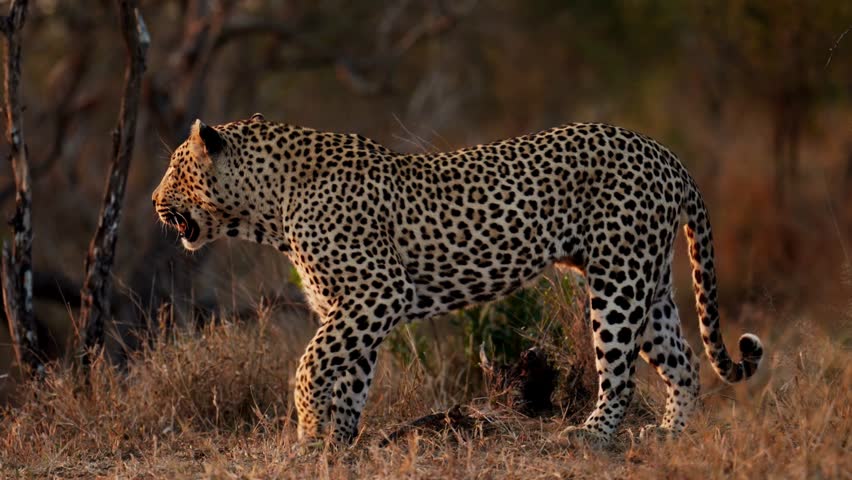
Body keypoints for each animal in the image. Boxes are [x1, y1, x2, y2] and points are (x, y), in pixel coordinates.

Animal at [151, 113, 764, 445]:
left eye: (174, 167)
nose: (155, 200)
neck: (268, 207)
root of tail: (665, 154)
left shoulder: (376, 291)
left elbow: (310, 364)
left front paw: (306, 433)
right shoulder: (352, 305)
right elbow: (350, 376)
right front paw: (337, 442)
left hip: (617, 281)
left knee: (621, 374)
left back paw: (590, 436)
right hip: (646, 281)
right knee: (684, 364)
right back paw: (668, 434)